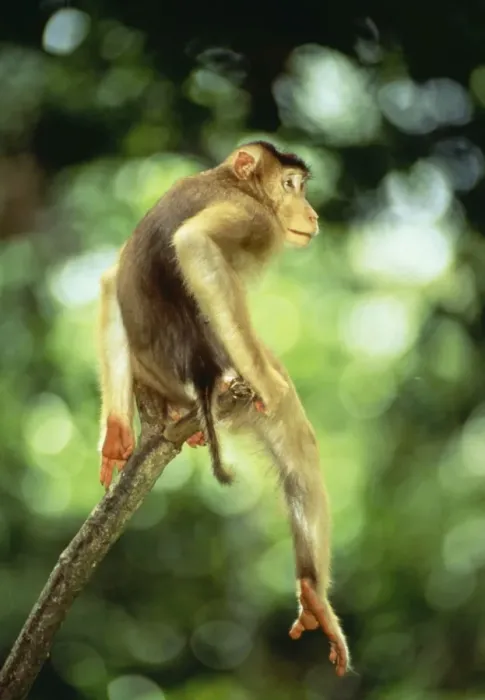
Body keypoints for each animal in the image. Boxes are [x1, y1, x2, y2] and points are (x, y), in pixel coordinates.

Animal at [96, 140, 350, 675]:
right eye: (291, 186)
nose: (312, 213)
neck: (231, 182)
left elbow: (109, 277)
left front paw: (115, 434)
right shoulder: (254, 218)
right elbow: (195, 244)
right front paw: (270, 383)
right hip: (226, 375)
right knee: (293, 427)